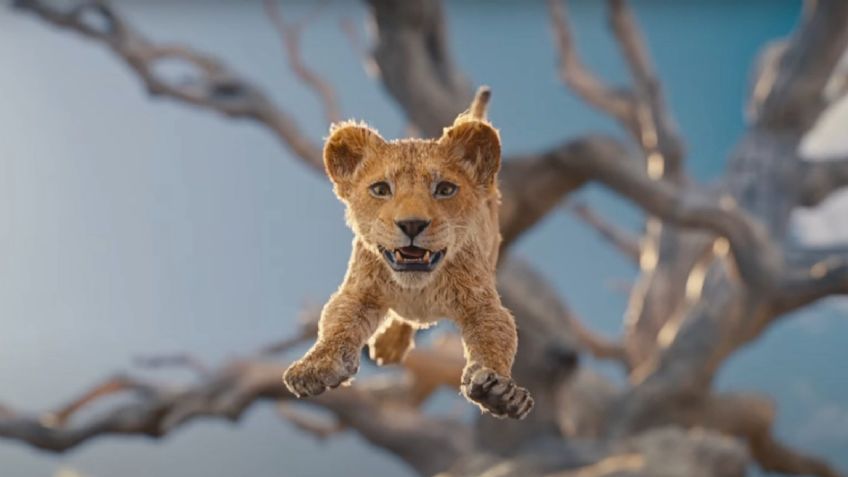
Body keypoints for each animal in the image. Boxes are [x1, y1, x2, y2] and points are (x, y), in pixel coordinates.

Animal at [283, 87, 533, 419]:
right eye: (380, 189)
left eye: (445, 189)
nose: (412, 224)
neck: (418, 288)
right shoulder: (359, 290)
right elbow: (337, 323)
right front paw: (315, 367)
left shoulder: (481, 303)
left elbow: (496, 338)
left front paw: (500, 391)